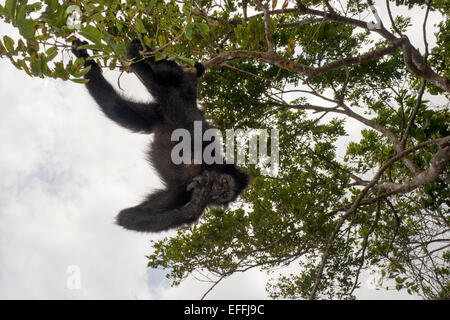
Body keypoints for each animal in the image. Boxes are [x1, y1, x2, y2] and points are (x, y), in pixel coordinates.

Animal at [72, 39, 251, 232]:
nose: (215, 193)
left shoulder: (183, 191)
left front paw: (194, 207)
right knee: (165, 86)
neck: (203, 167)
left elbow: (127, 216)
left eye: (224, 194)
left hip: (154, 117)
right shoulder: (201, 140)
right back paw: (132, 58)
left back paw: (91, 65)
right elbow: (170, 95)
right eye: (223, 183)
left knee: (115, 106)